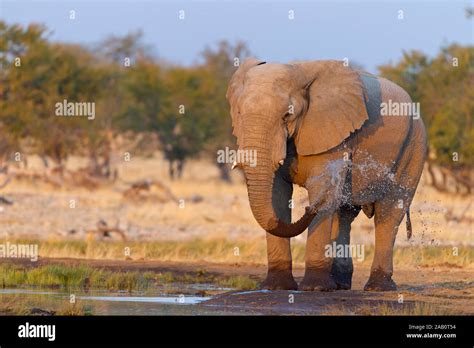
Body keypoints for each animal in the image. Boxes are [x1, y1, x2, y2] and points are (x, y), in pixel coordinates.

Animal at [225, 59, 426, 290]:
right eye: (239, 114)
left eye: (287, 115)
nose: (308, 208)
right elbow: (278, 196)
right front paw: (277, 288)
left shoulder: (333, 134)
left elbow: (322, 187)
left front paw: (314, 288)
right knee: (344, 213)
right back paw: (340, 284)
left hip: (413, 148)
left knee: (389, 213)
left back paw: (378, 287)